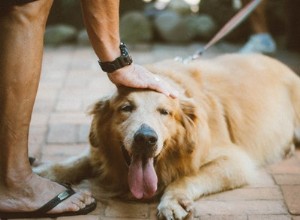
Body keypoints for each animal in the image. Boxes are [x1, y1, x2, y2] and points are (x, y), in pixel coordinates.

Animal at [36, 53, 300, 220]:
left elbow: (186, 177)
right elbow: (77, 160)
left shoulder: (235, 161)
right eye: (126, 108)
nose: (145, 139)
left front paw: (173, 200)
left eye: (165, 112)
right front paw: (45, 172)